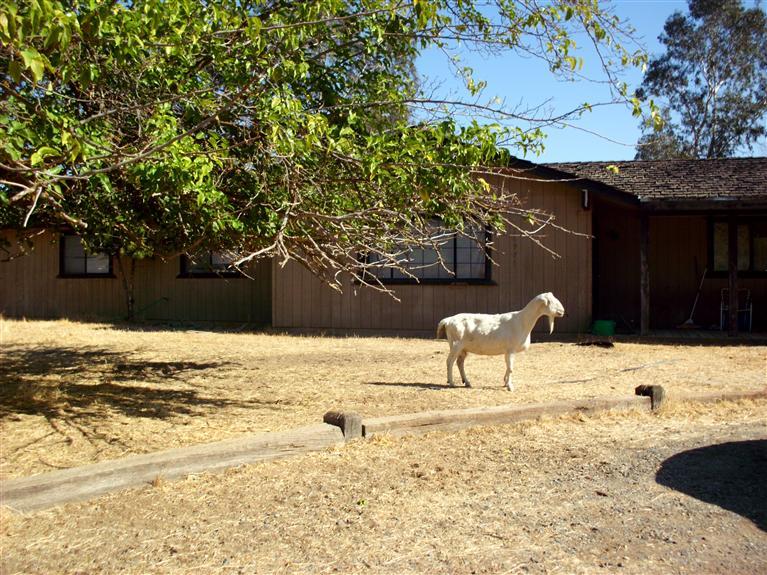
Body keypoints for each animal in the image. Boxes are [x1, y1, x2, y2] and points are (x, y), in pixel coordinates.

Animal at [436, 292, 565, 391]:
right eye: (551, 302)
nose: (562, 311)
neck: (522, 321)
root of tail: (448, 320)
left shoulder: (508, 352)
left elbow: (508, 367)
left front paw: (505, 382)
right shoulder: (510, 349)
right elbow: (511, 368)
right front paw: (510, 387)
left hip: (463, 348)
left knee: (459, 363)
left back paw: (467, 382)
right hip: (456, 345)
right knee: (450, 362)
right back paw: (451, 382)